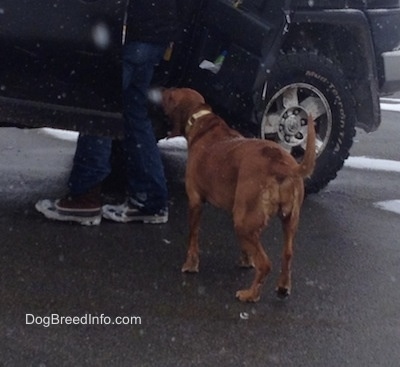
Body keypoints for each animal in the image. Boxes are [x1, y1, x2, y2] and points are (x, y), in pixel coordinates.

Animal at [159, 88, 316, 302]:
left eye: (170, 95)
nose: (160, 90)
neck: (202, 121)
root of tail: (282, 165)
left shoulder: (195, 201)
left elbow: (193, 236)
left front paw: (190, 265)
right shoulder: (235, 208)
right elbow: (245, 248)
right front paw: (245, 261)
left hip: (244, 222)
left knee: (265, 264)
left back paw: (250, 294)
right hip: (286, 221)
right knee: (287, 254)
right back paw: (283, 287)